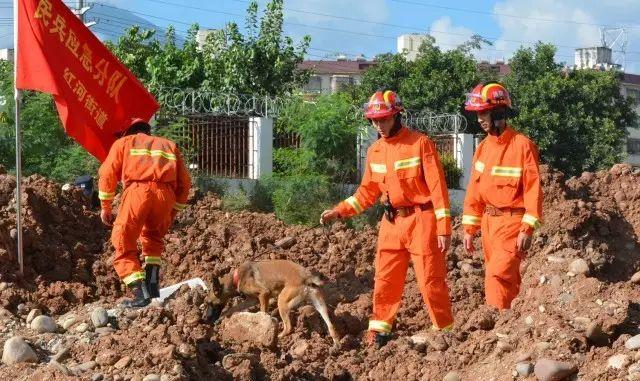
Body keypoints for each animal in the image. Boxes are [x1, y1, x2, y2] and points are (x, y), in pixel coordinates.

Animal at [209, 260, 340, 346]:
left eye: (209, 303)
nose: (206, 319)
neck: (236, 277)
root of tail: (307, 277)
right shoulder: (252, 300)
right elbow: (233, 308)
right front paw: (222, 317)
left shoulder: (263, 294)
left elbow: (263, 311)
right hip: (320, 305)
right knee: (330, 325)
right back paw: (336, 344)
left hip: (282, 301)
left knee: (288, 327)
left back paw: (279, 335)